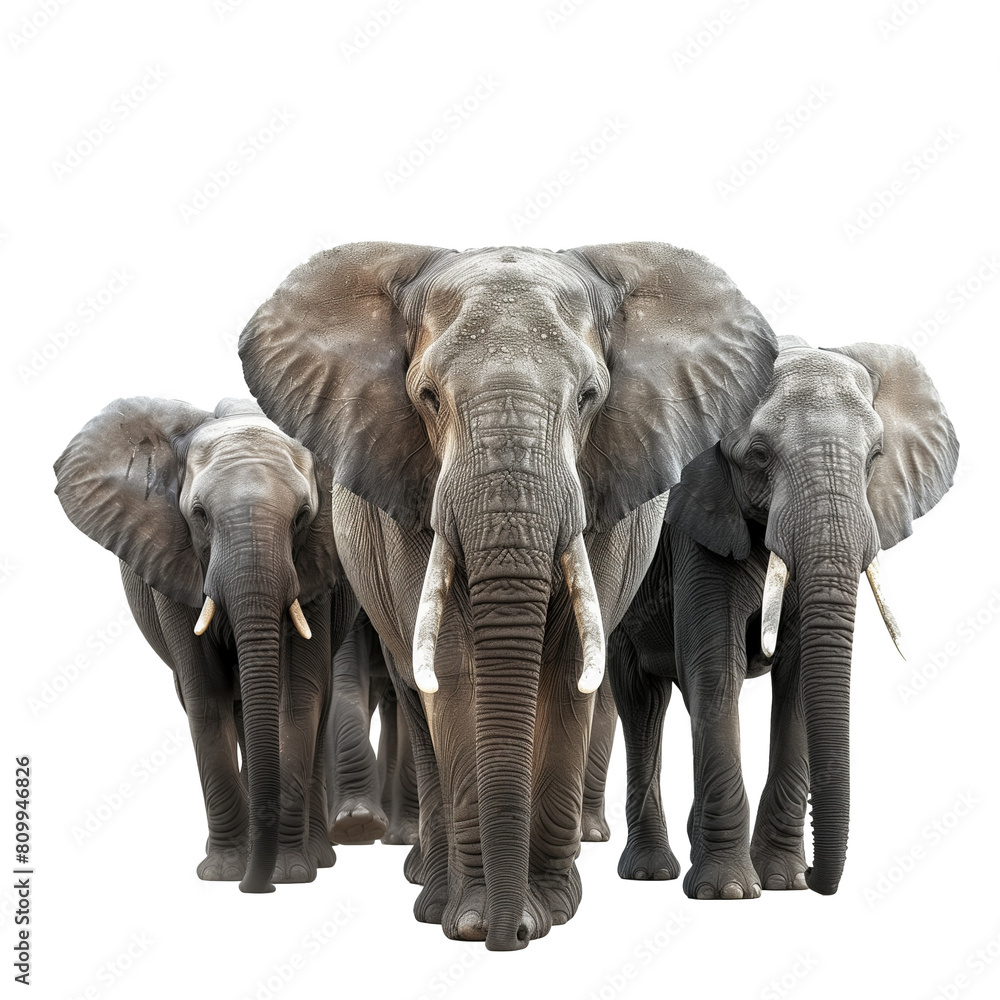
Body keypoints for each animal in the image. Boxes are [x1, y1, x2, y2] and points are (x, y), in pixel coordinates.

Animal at [54, 397, 358, 891]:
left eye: (301, 517)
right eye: (198, 514)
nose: (257, 888)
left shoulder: (316, 574)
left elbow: (296, 702)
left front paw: (291, 874)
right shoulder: (172, 564)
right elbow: (206, 700)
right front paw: (222, 873)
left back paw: (316, 857)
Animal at [607, 338, 958, 899]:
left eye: (875, 457)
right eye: (758, 455)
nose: (818, 877)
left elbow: (795, 682)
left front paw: (783, 881)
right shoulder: (700, 525)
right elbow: (717, 671)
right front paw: (727, 892)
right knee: (642, 701)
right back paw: (651, 871)